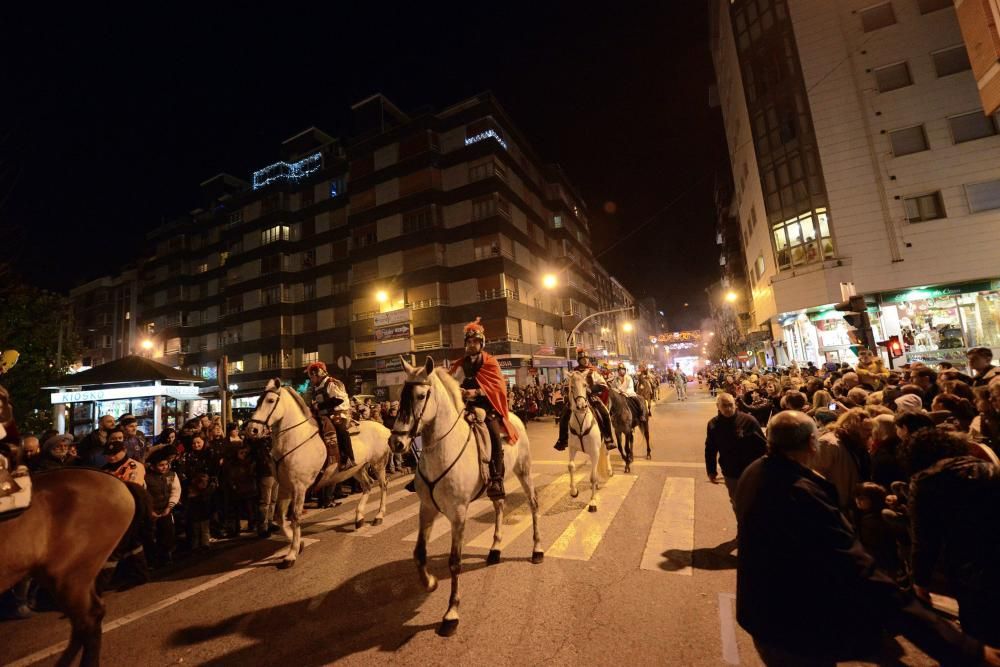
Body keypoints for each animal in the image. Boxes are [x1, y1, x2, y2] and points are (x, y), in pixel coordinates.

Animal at [246, 378, 394, 568]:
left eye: (270, 400)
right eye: (257, 401)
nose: (252, 430)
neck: (294, 438)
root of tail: (383, 428)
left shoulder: (299, 487)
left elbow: (295, 516)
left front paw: (291, 554)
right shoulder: (285, 487)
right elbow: (280, 517)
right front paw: (299, 544)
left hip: (378, 464)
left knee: (383, 486)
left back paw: (379, 516)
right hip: (357, 468)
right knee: (367, 486)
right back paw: (359, 518)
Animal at [390, 358, 544, 640]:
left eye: (420, 396)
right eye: (400, 395)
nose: (396, 443)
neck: (441, 449)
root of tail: (515, 416)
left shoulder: (458, 513)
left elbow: (454, 562)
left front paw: (451, 613)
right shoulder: (426, 508)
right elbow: (419, 553)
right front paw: (429, 583)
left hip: (524, 471)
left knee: (533, 504)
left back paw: (537, 550)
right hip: (496, 485)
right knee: (500, 505)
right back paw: (494, 549)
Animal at [568, 370, 612, 512]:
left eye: (585, 385)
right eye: (571, 387)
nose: (581, 406)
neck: (582, 421)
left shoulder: (594, 451)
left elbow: (592, 477)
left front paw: (592, 501)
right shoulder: (572, 449)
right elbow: (571, 466)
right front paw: (573, 491)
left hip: (604, 443)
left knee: (606, 453)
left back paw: (609, 471)